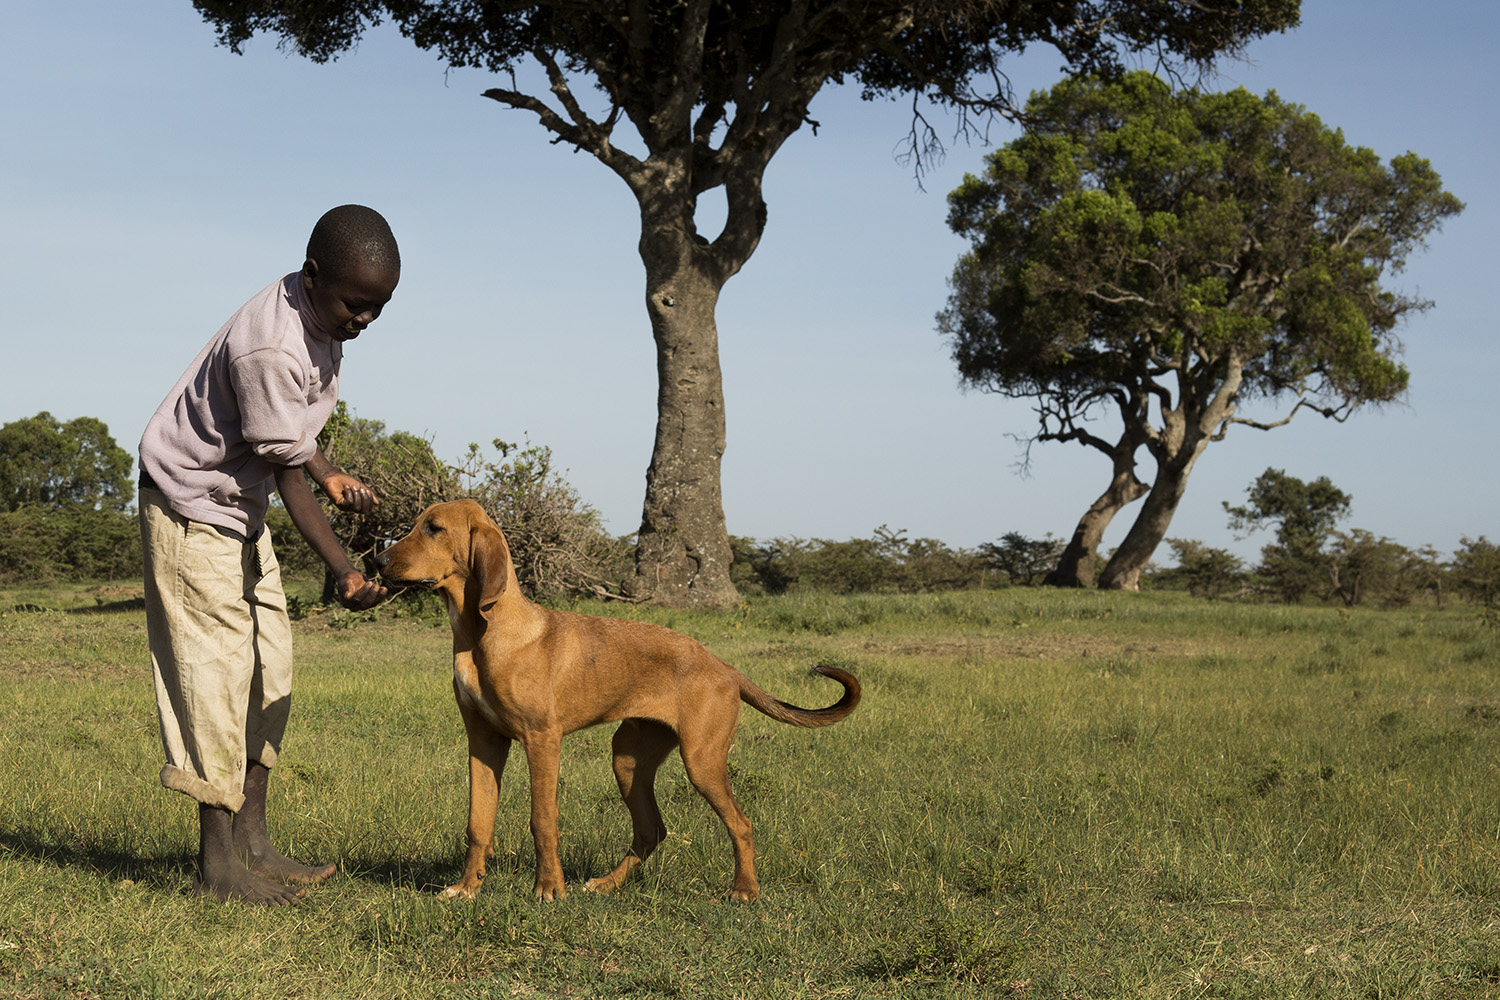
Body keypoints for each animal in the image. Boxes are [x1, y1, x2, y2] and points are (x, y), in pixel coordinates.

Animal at [372, 497, 858, 899]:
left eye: (434, 528)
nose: (376, 560)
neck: (483, 634)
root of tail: (724, 667)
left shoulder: (542, 739)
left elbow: (542, 820)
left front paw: (549, 889)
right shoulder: (483, 740)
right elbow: (478, 821)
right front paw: (467, 889)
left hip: (702, 760)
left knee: (740, 823)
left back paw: (743, 891)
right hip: (628, 758)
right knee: (651, 831)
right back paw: (607, 884)